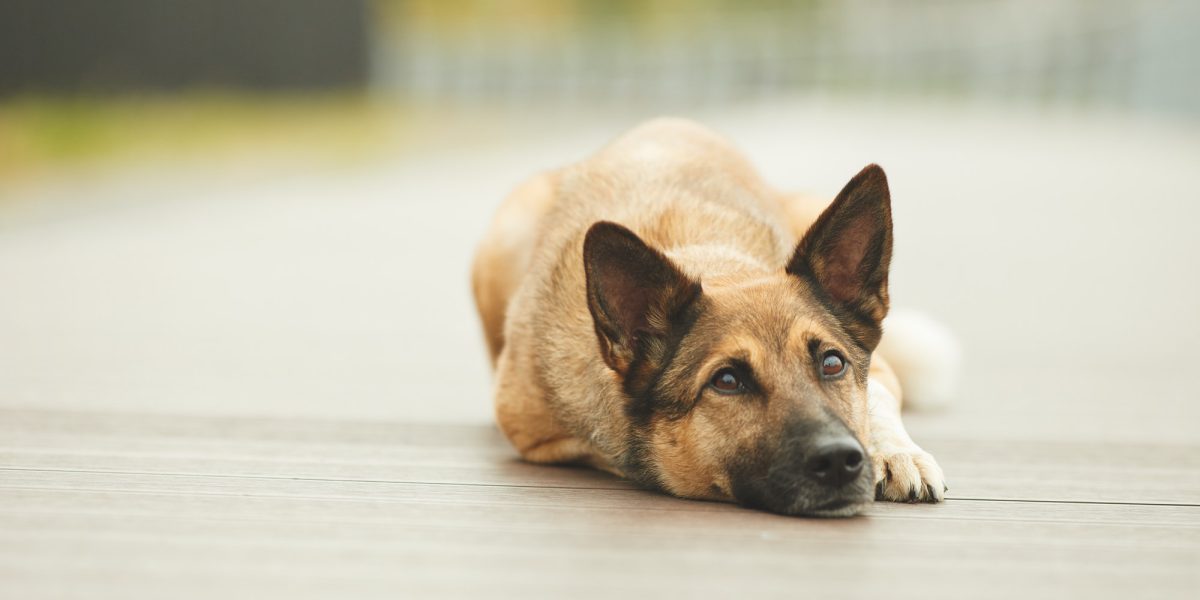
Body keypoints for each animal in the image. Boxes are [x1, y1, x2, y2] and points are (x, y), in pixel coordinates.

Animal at [470, 118, 955, 516]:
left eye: (832, 363)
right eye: (727, 381)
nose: (839, 459)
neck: (711, 257)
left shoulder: (879, 373)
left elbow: (879, 398)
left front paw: (897, 452)